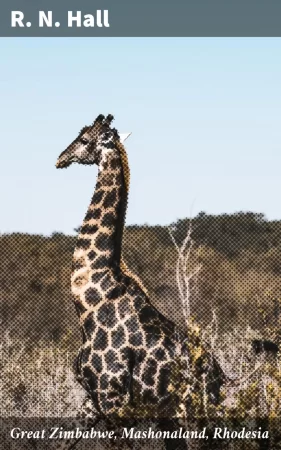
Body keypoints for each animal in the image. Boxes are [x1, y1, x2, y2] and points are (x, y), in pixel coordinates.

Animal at [55, 114, 224, 448]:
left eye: (84, 139)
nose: (60, 159)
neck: (89, 304)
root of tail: (220, 382)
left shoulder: (113, 402)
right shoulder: (92, 401)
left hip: (191, 414)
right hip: (171, 417)